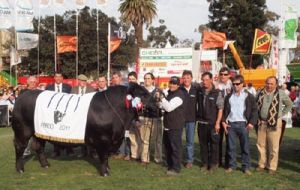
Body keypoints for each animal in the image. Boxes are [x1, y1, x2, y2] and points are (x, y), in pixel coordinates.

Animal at [11, 84, 150, 176]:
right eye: (144, 94)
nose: (156, 102)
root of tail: (24, 92)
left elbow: (106, 157)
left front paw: (108, 169)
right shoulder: (103, 140)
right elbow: (104, 157)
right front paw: (105, 172)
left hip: (40, 132)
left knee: (39, 146)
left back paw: (45, 165)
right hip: (22, 130)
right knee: (20, 147)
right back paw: (20, 169)